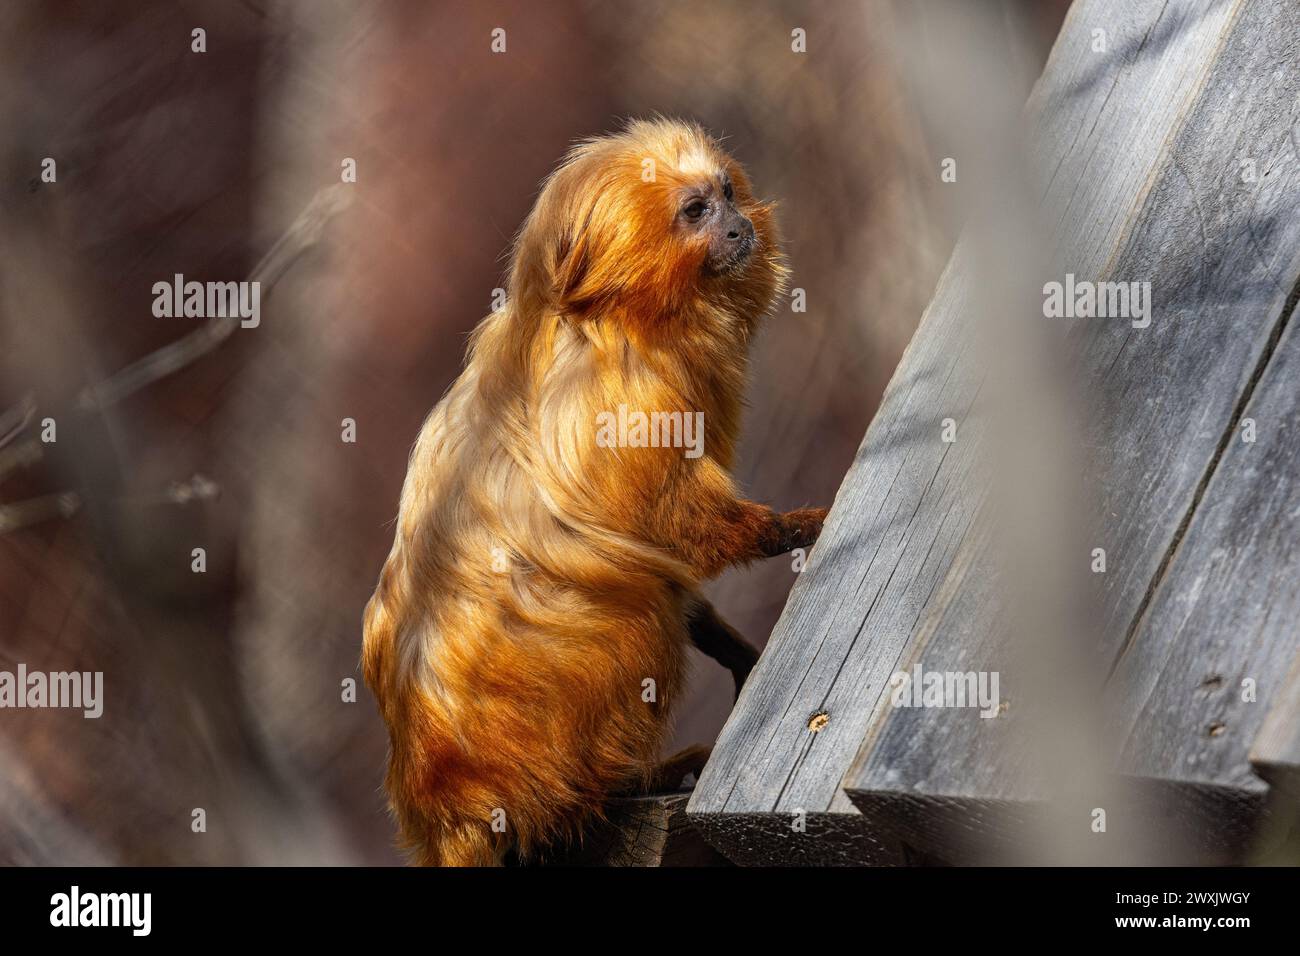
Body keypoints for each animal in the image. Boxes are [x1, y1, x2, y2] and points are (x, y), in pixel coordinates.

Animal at [361, 119, 826, 868]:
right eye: (696, 211)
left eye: (727, 193)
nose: (738, 227)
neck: (621, 320)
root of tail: (444, 802)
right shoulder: (630, 399)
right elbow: (673, 522)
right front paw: (791, 529)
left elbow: (669, 564)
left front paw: (732, 646)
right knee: (633, 612)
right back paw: (630, 784)